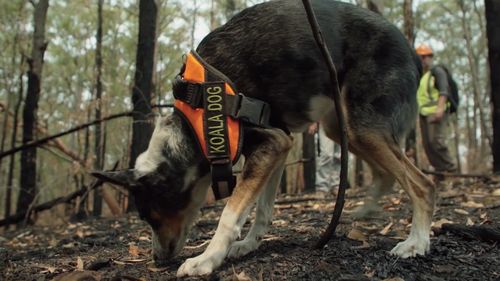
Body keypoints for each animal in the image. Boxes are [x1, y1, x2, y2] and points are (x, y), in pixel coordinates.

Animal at [92, 0, 436, 276]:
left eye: (150, 214)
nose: (156, 259)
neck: (195, 120)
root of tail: (413, 53)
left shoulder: (270, 145)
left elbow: (230, 214)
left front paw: (207, 259)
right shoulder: (280, 145)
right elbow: (262, 210)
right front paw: (249, 244)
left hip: (361, 127)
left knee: (422, 183)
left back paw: (416, 242)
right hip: (341, 127)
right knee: (386, 173)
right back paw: (368, 210)